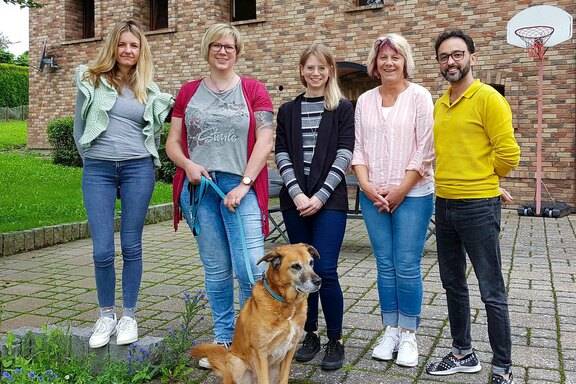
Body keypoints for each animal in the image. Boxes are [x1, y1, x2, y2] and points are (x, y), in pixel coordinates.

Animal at [191, 243, 322, 384]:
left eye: (311, 262)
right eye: (296, 266)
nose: (319, 281)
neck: (287, 304)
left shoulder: (289, 350)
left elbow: (284, 378)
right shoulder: (261, 353)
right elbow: (263, 379)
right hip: (236, 363)